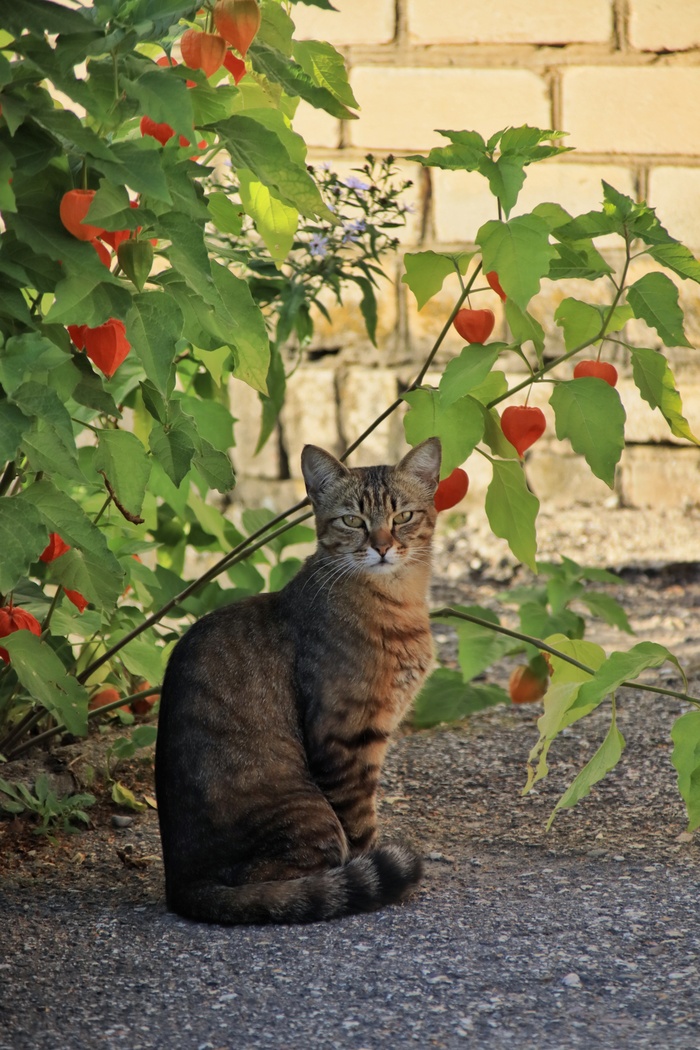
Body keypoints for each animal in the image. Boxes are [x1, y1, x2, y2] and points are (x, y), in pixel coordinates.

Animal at [155, 436, 441, 925]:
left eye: (402, 516)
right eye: (352, 520)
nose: (383, 547)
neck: (398, 604)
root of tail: (183, 886)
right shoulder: (344, 736)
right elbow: (360, 823)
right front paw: (370, 867)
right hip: (307, 812)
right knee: (283, 884)